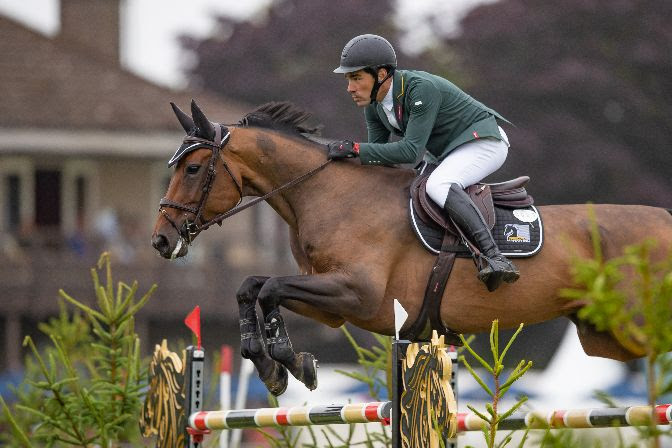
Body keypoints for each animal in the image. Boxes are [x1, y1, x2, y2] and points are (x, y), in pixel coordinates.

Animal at [151, 100, 672, 396]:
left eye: (192, 169)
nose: (161, 239)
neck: (329, 195)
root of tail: (665, 220)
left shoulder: (356, 294)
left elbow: (269, 289)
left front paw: (286, 360)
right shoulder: (333, 307)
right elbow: (252, 286)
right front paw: (275, 365)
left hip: (636, 322)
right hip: (607, 334)